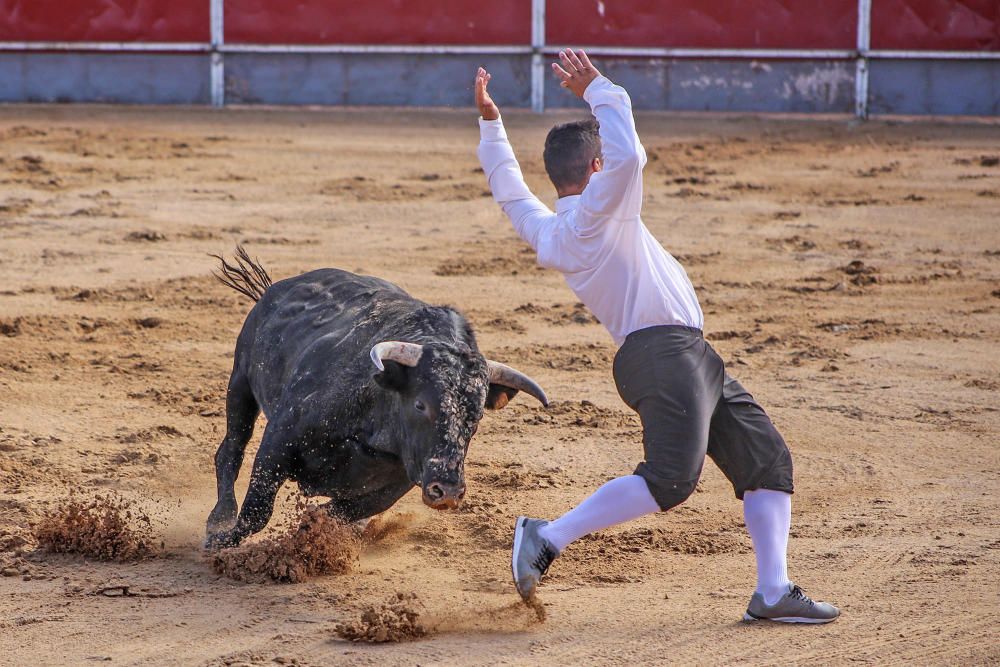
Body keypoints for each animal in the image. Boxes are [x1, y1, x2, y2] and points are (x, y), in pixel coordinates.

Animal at [203, 248, 548, 552]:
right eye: (420, 404)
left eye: (476, 417)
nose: (448, 490)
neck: (372, 429)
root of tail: (277, 289)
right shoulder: (279, 438)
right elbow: (257, 509)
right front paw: (220, 540)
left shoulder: (397, 484)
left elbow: (334, 513)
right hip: (240, 383)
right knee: (230, 449)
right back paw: (219, 519)